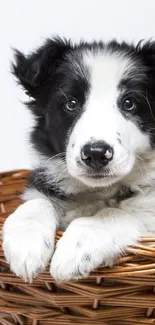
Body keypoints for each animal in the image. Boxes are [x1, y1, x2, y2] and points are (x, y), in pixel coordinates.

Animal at [2, 37, 155, 280]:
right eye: (71, 104)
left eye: (129, 103)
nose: (96, 153)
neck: (98, 191)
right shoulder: (43, 181)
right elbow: (36, 202)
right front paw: (25, 246)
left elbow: (115, 212)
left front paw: (75, 250)